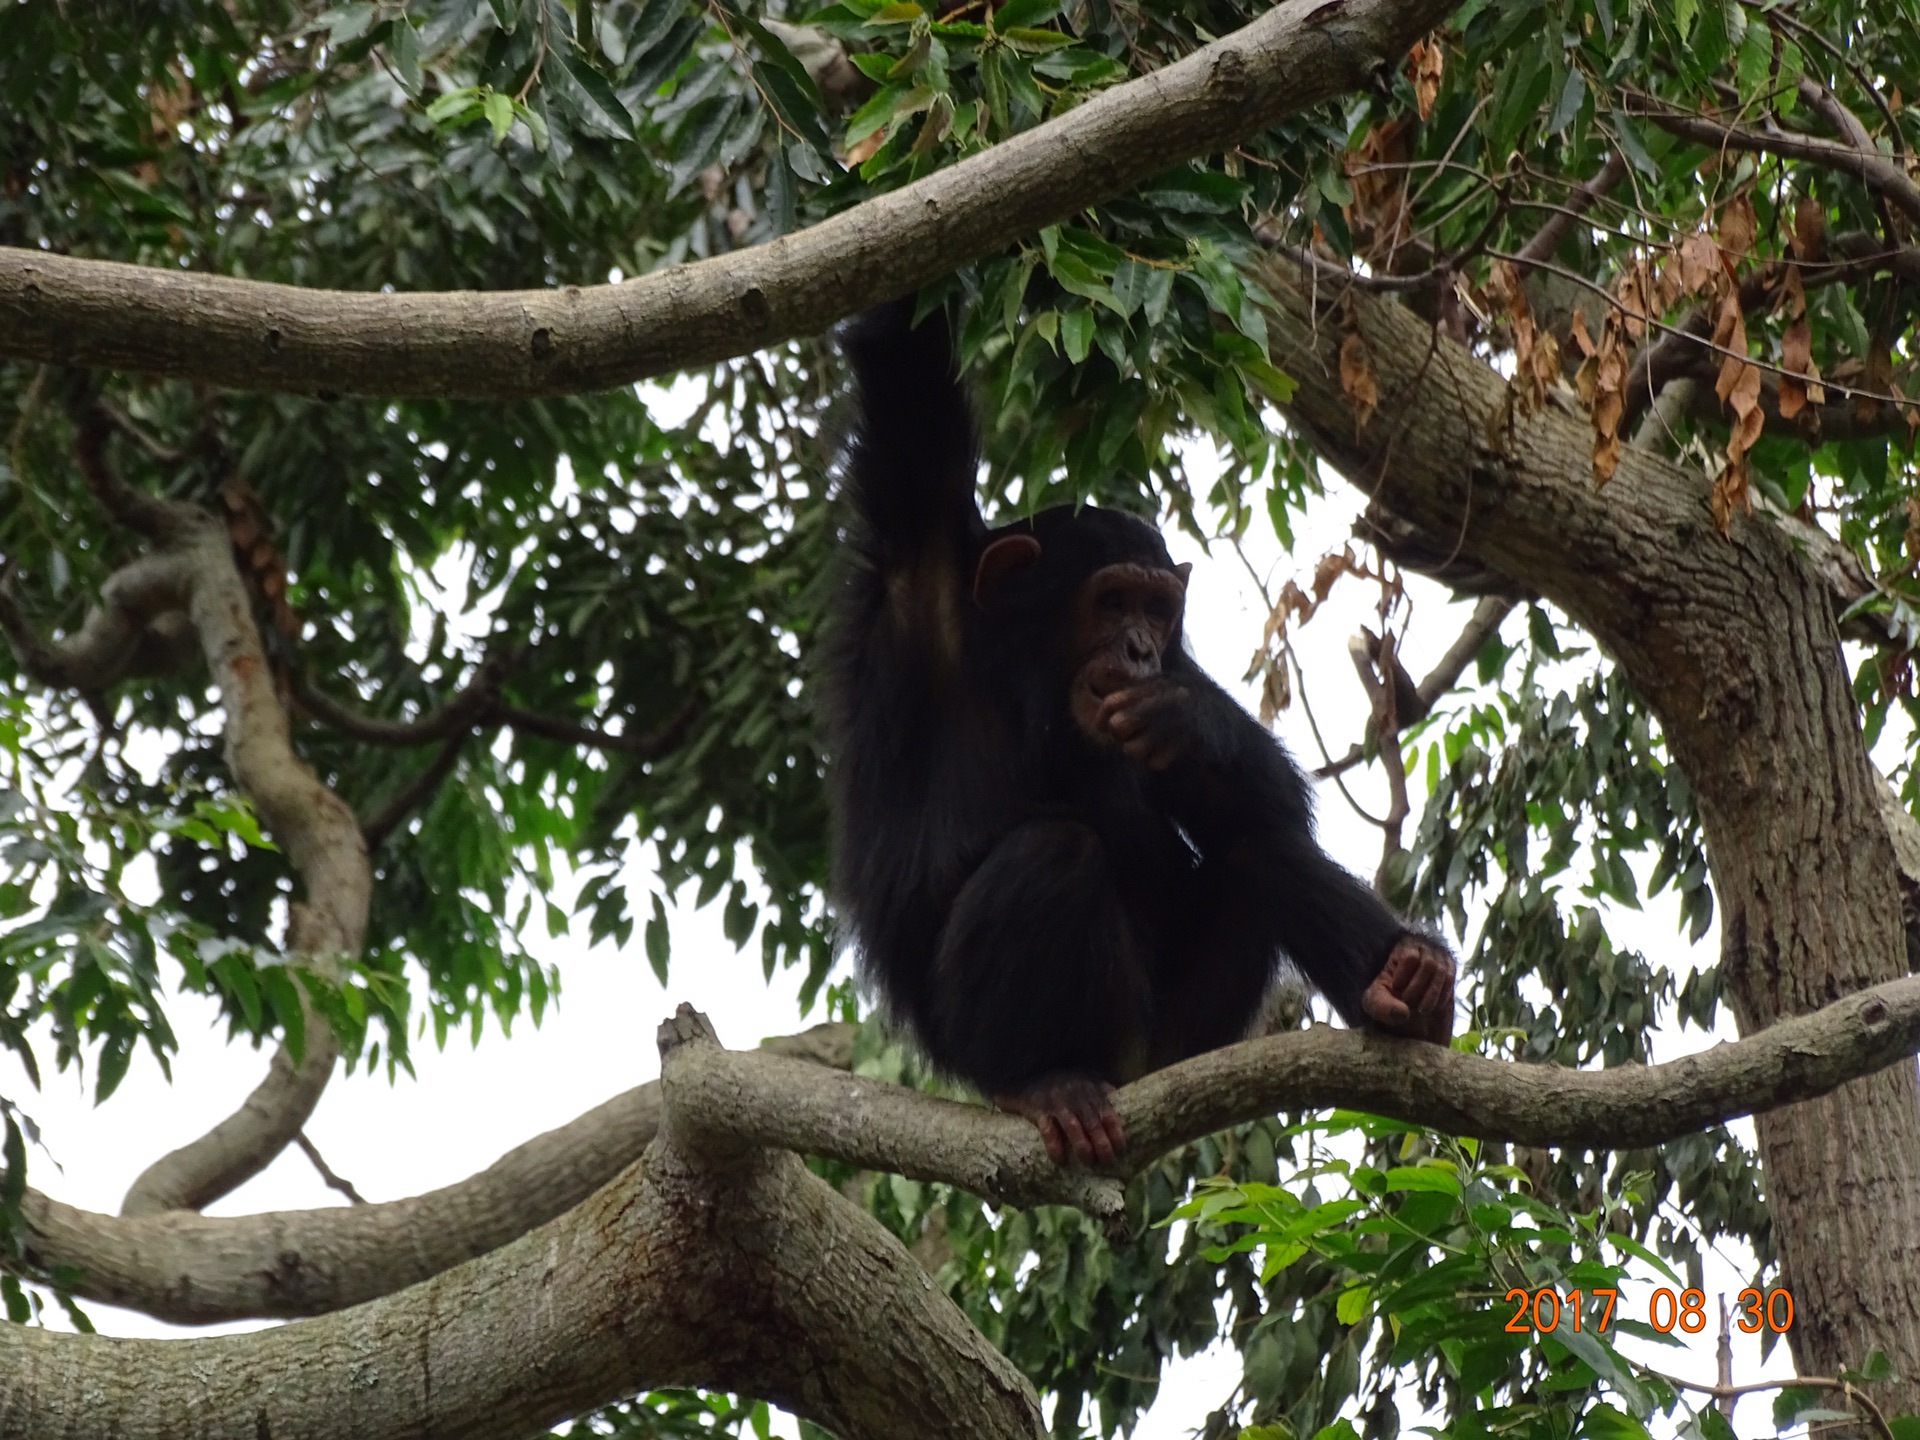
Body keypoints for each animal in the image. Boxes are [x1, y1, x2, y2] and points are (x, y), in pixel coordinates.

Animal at [814, 299, 1451, 1167]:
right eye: (1111, 602)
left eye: (1155, 609)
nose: (1141, 650)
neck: (1024, 679)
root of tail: (1139, 1077)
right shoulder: (921, 564)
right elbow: (906, 385)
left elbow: (1269, 805)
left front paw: (1185, 720)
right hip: (1057, 1046)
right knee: (1055, 853)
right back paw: (1046, 1082)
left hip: (1187, 1039)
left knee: (1259, 848)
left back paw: (1405, 985)